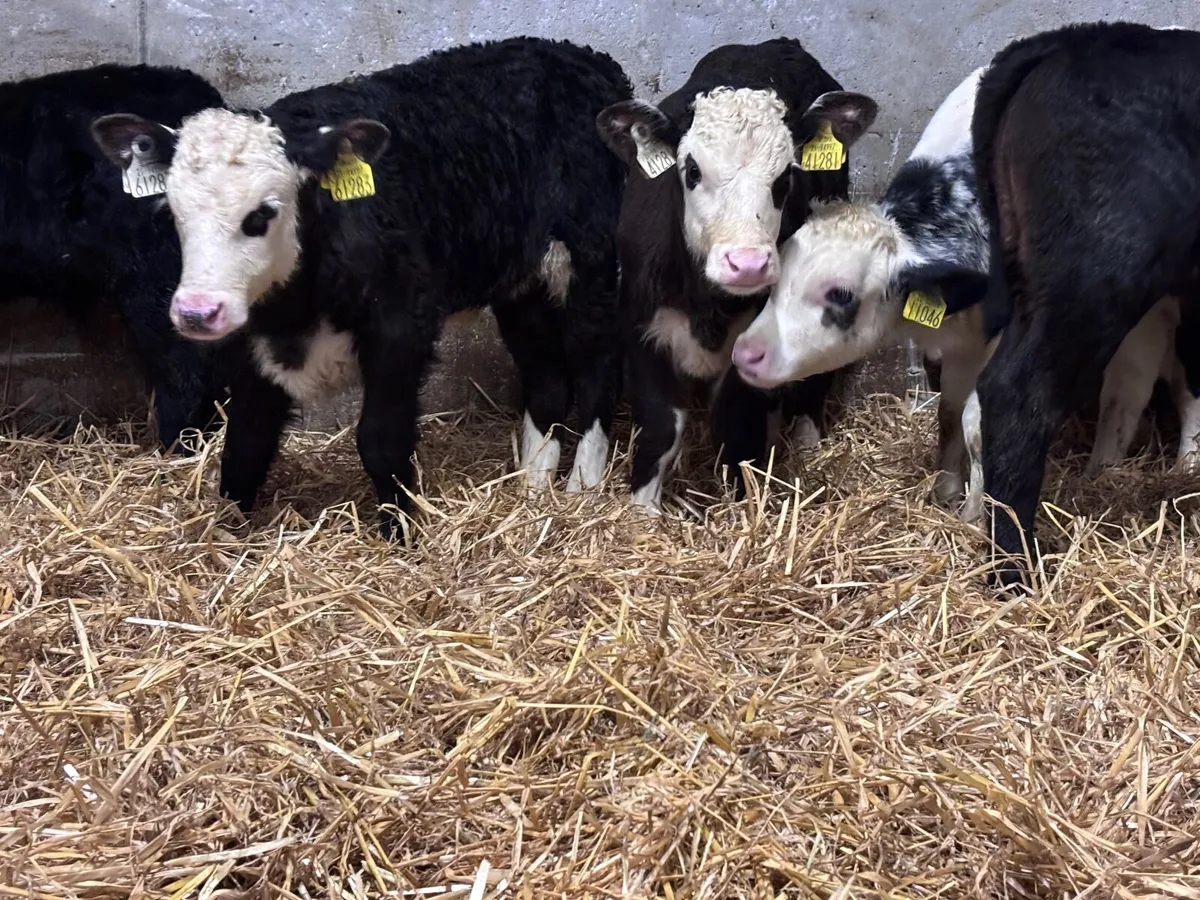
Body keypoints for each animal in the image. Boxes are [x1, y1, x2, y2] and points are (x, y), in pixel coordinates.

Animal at [91, 37, 631, 541]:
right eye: (172, 211)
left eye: (262, 213)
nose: (197, 313)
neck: (297, 308)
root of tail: (579, 55)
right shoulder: (249, 346)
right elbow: (245, 443)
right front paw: (226, 535)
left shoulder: (402, 325)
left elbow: (381, 441)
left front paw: (402, 534)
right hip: (523, 285)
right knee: (547, 377)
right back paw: (533, 487)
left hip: (591, 261)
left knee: (597, 368)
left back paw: (582, 486)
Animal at [595, 38, 877, 513]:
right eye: (692, 170)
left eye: (785, 178)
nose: (747, 263)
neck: (707, 305)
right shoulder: (641, 327)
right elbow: (661, 426)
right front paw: (642, 509)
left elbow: (737, 430)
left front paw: (744, 504)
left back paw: (809, 442)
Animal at [731, 62, 1200, 536]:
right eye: (778, 275)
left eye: (840, 294)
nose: (747, 352)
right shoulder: (961, 339)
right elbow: (950, 413)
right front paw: (946, 490)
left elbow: (977, 420)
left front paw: (974, 510)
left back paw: (1182, 464)